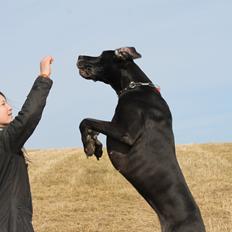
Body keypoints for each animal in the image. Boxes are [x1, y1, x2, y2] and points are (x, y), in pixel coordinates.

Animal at [77, 47, 206, 232]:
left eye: (101, 55)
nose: (79, 56)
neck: (136, 88)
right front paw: (95, 143)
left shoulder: (126, 133)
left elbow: (86, 120)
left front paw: (88, 145)